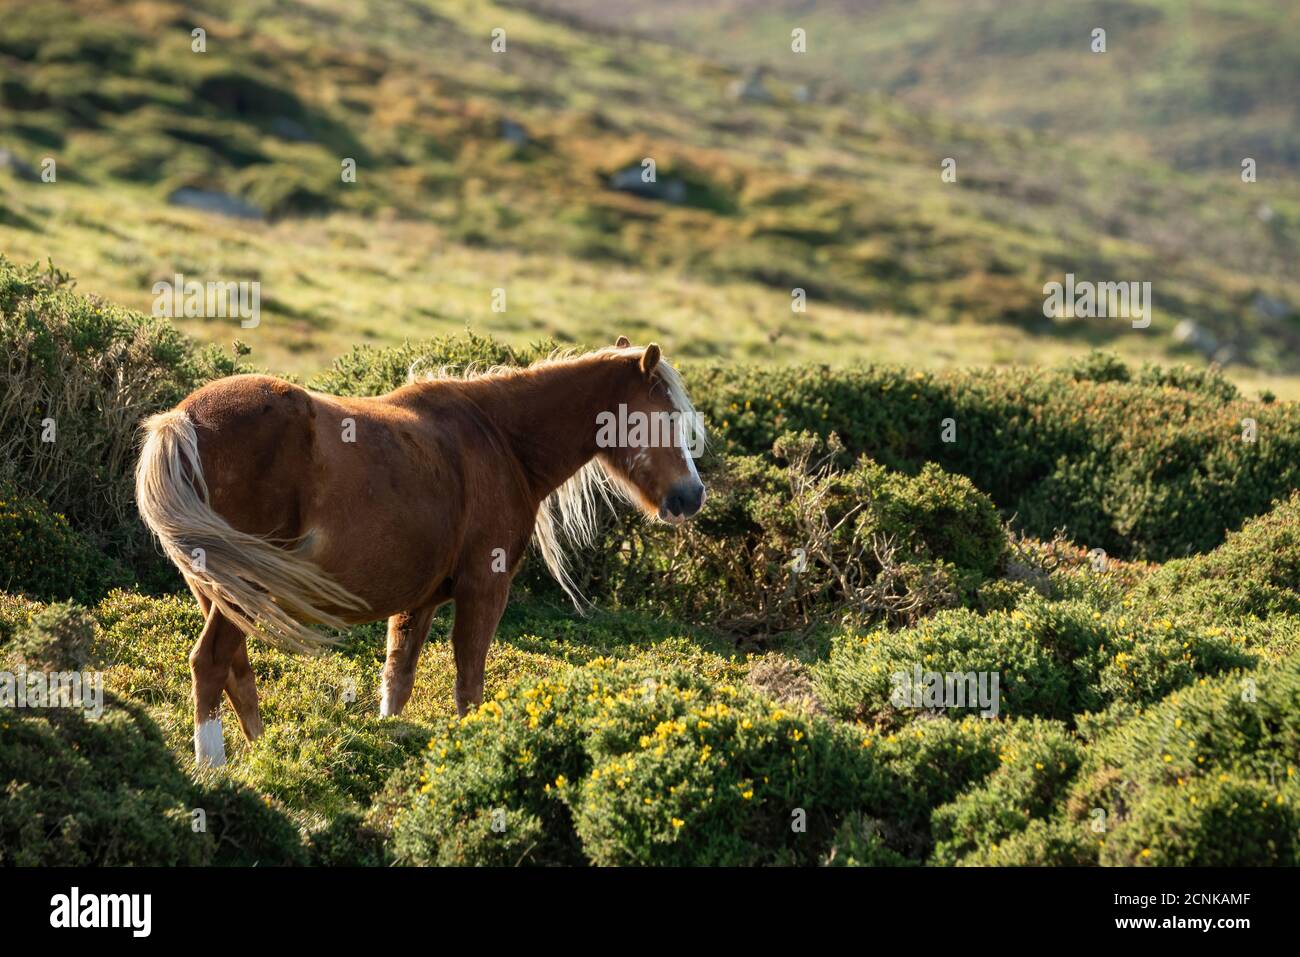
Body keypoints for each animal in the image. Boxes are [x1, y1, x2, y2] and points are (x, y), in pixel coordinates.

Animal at [135, 335, 707, 764]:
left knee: (235, 667)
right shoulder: (484, 588)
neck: (501, 440)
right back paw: (213, 766)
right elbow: (469, 683)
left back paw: (266, 752)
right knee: (211, 662)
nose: (691, 496)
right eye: (661, 418)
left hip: (222, 588)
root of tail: (181, 420)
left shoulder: (420, 600)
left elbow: (398, 678)